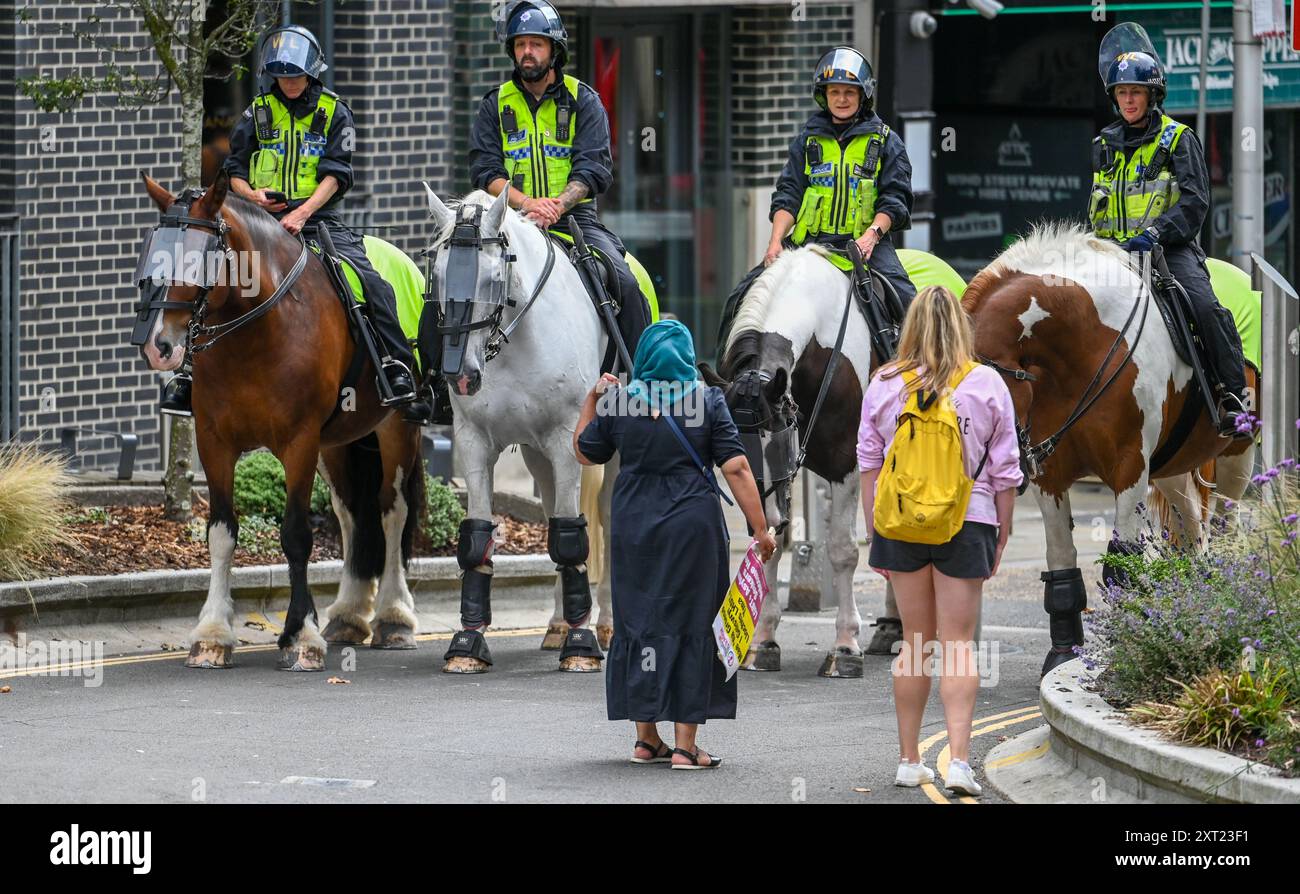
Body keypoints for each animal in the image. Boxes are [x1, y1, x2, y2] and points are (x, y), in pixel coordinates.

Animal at [142, 172, 426, 670]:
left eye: (201, 256)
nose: (160, 345)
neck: (256, 331)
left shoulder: (299, 442)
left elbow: (295, 535)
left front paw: (301, 636)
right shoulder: (213, 443)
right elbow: (221, 533)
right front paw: (213, 634)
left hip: (395, 428)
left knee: (392, 511)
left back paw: (394, 618)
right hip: (338, 444)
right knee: (352, 514)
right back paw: (348, 615)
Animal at [421, 189, 613, 675]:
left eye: (493, 277)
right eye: (439, 272)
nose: (461, 375)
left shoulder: (568, 442)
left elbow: (572, 540)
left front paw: (582, 644)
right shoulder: (474, 442)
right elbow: (477, 539)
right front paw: (468, 641)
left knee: (603, 521)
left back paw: (603, 625)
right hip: (537, 456)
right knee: (552, 514)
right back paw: (558, 624)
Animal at [961, 224, 1253, 675]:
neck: (1084, 344)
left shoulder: (1129, 466)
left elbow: (1122, 564)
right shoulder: (1051, 473)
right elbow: (1061, 560)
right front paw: (1063, 653)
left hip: (1237, 457)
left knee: (1226, 531)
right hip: (1172, 469)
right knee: (1192, 534)